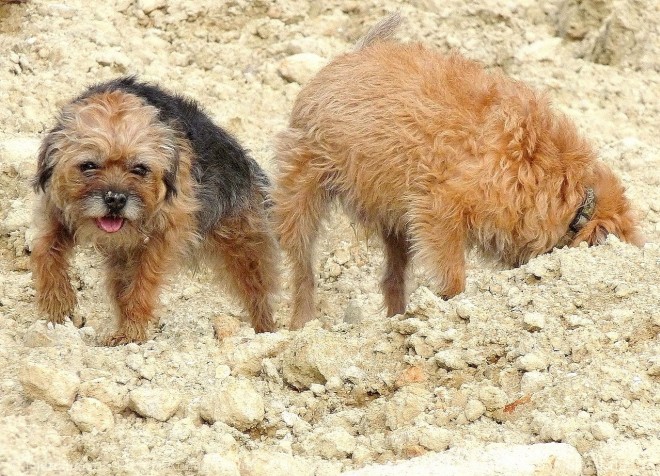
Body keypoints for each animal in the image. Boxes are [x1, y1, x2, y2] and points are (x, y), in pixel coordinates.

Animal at [31, 78, 278, 346]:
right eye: (88, 165)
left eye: (140, 169)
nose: (115, 200)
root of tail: (247, 164)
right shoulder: (54, 213)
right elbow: (44, 251)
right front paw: (57, 303)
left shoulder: (163, 237)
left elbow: (143, 283)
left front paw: (131, 333)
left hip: (245, 248)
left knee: (258, 294)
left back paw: (267, 334)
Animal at [270, 13, 640, 330]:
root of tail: (350, 56)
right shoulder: (439, 210)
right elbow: (453, 275)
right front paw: (452, 306)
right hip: (301, 193)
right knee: (303, 268)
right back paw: (301, 323)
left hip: (395, 224)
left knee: (392, 278)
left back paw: (397, 319)